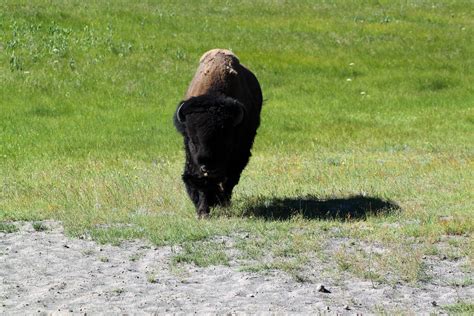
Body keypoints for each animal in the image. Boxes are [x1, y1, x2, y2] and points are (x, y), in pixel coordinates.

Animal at [173, 48, 262, 217]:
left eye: (225, 140)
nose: (208, 167)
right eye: (192, 141)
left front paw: (222, 204)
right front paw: (203, 212)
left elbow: (229, 180)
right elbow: (203, 184)